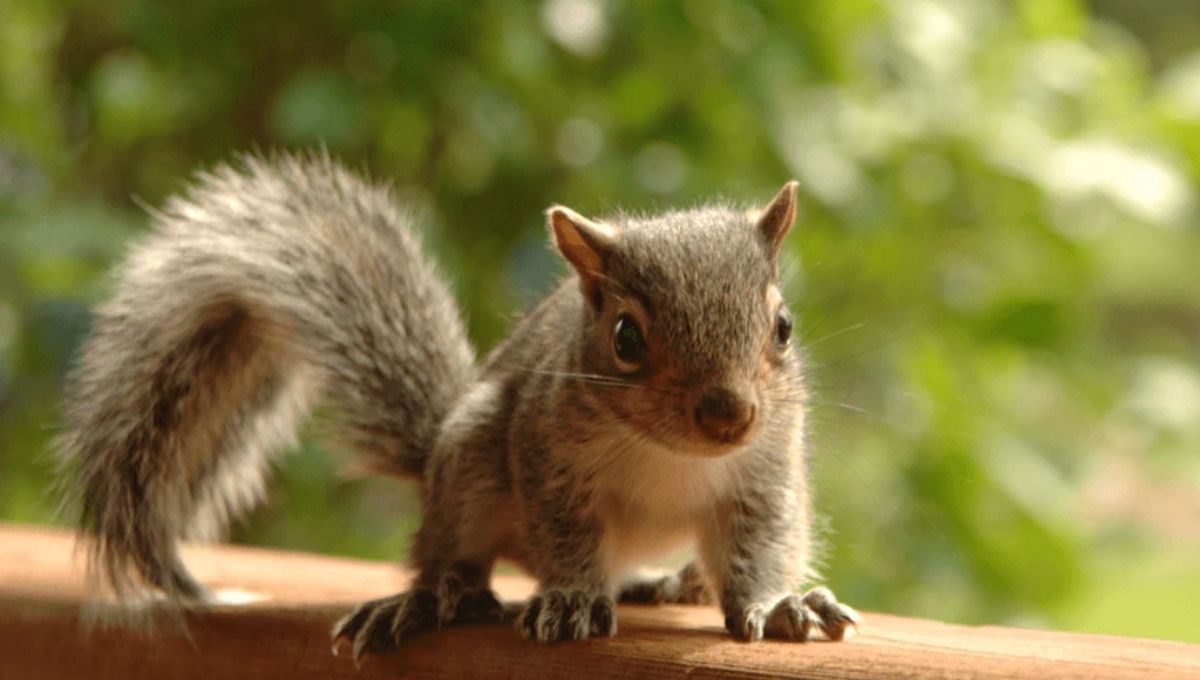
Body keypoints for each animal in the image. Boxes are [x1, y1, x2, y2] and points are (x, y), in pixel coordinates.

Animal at [55, 152, 859, 659]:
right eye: (626, 337)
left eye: (782, 327)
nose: (729, 415)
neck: (669, 454)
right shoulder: (547, 453)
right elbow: (566, 534)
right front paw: (572, 597)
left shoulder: (765, 472)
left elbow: (760, 545)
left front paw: (776, 605)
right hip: (471, 458)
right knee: (449, 555)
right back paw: (437, 599)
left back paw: (668, 583)